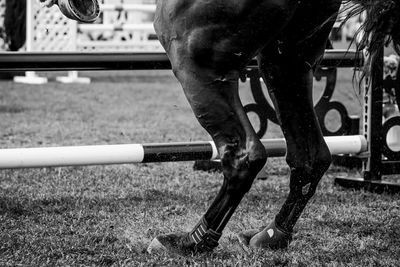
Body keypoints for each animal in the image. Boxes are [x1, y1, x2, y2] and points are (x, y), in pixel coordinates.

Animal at [43, 0, 400, 255]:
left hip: (194, 54)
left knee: (245, 154)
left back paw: (193, 242)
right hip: (286, 59)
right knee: (310, 156)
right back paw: (272, 235)